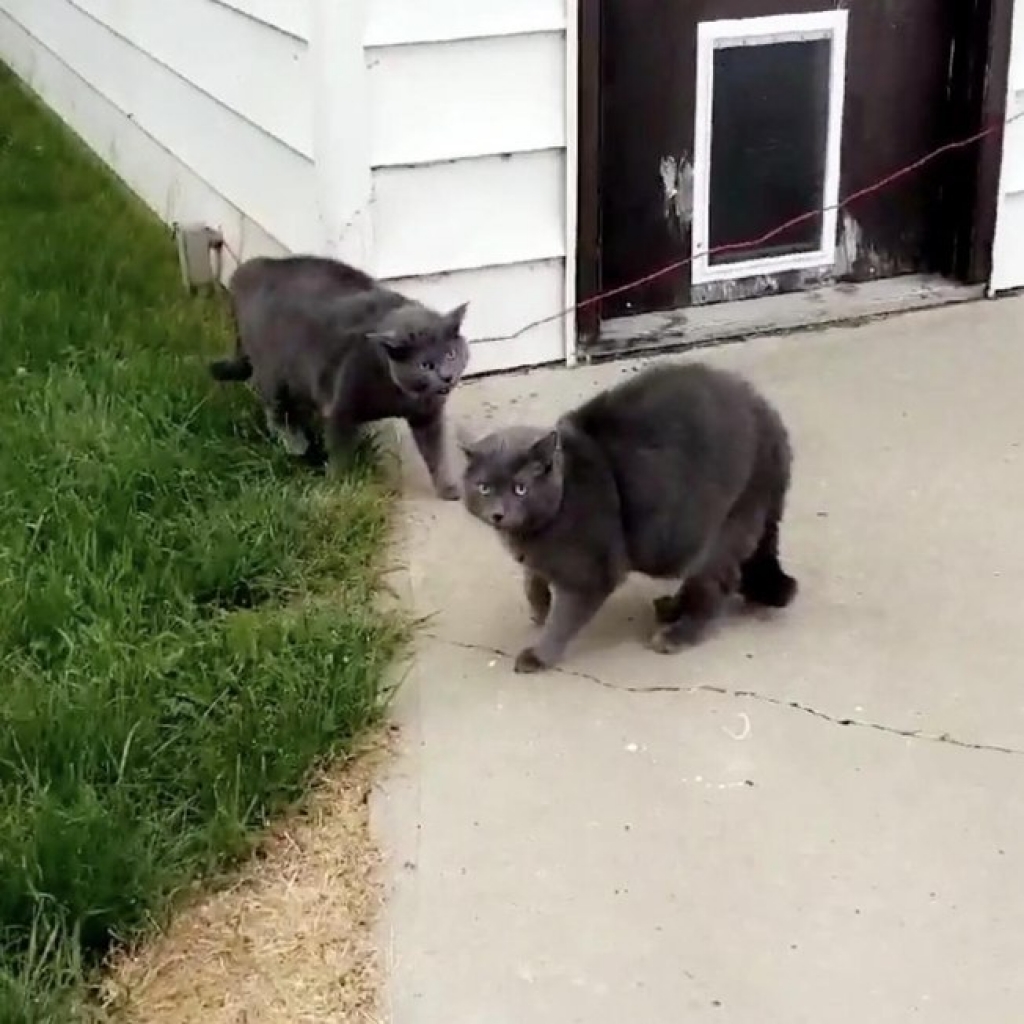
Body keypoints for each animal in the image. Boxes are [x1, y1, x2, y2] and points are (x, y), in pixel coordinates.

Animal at [208, 251, 471, 499]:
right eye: (425, 365)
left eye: (450, 354)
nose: (447, 377)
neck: (401, 395)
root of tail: (250, 269)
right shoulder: (341, 409)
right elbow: (339, 450)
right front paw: (337, 485)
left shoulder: (429, 416)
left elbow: (437, 453)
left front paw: (448, 488)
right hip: (273, 371)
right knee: (275, 408)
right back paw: (295, 443)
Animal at [460, 360, 794, 671]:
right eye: (484, 487)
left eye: (520, 489)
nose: (498, 513)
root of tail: (772, 423)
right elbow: (533, 579)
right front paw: (539, 607)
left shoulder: (591, 572)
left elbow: (563, 618)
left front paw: (540, 655)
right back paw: (670, 607)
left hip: (724, 528)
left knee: (715, 586)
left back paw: (677, 635)